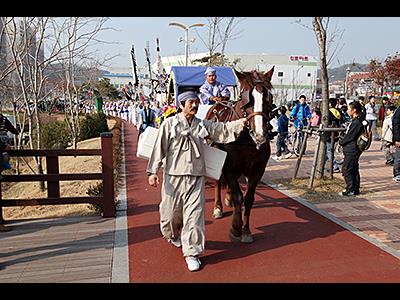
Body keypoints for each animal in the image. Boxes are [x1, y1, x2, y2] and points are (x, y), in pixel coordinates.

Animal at [206, 67, 276, 243]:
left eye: (268, 98)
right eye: (246, 98)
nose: (260, 134)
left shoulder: (258, 170)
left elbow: (249, 199)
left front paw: (246, 230)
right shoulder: (229, 167)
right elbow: (239, 197)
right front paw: (236, 228)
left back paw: (228, 197)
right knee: (218, 181)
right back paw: (218, 207)